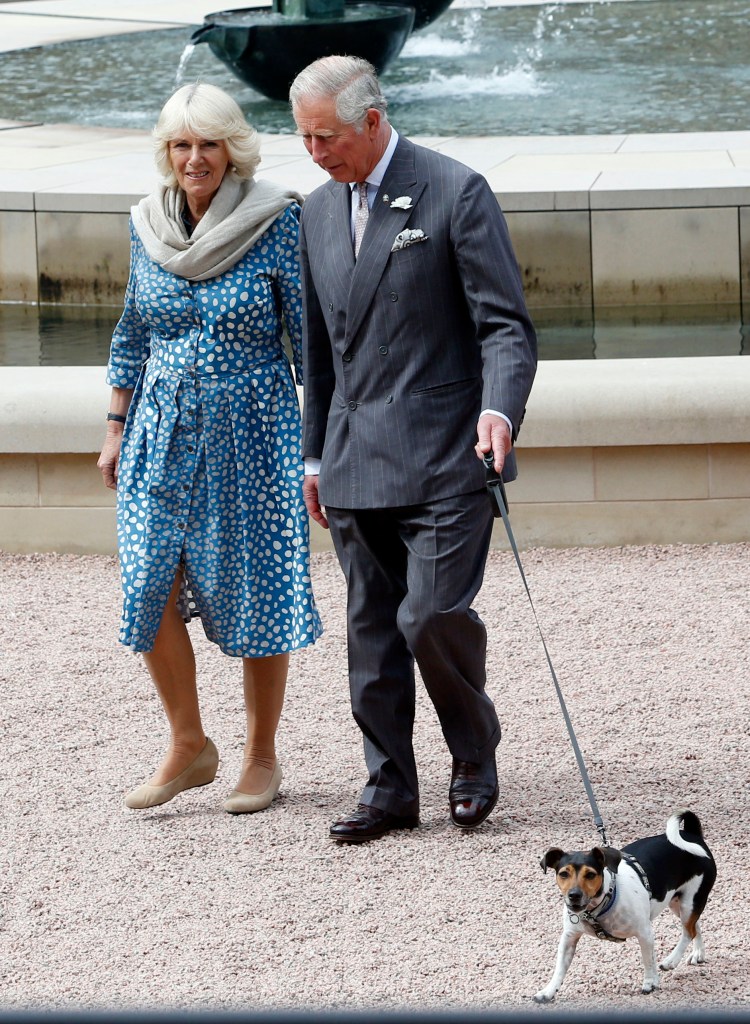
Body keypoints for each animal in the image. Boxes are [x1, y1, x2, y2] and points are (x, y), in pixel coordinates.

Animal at [532, 811, 713, 1003]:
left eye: (590, 875)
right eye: (563, 874)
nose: (574, 895)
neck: (600, 906)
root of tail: (692, 834)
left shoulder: (645, 932)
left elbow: (648, 960)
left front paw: (650, 983)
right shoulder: (569, 938)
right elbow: (559, 969)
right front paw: (548, 991)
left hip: (690, 901)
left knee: (688, 932)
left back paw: (671, 961)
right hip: (678, 902)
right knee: (695, 926)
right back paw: (698, 953)